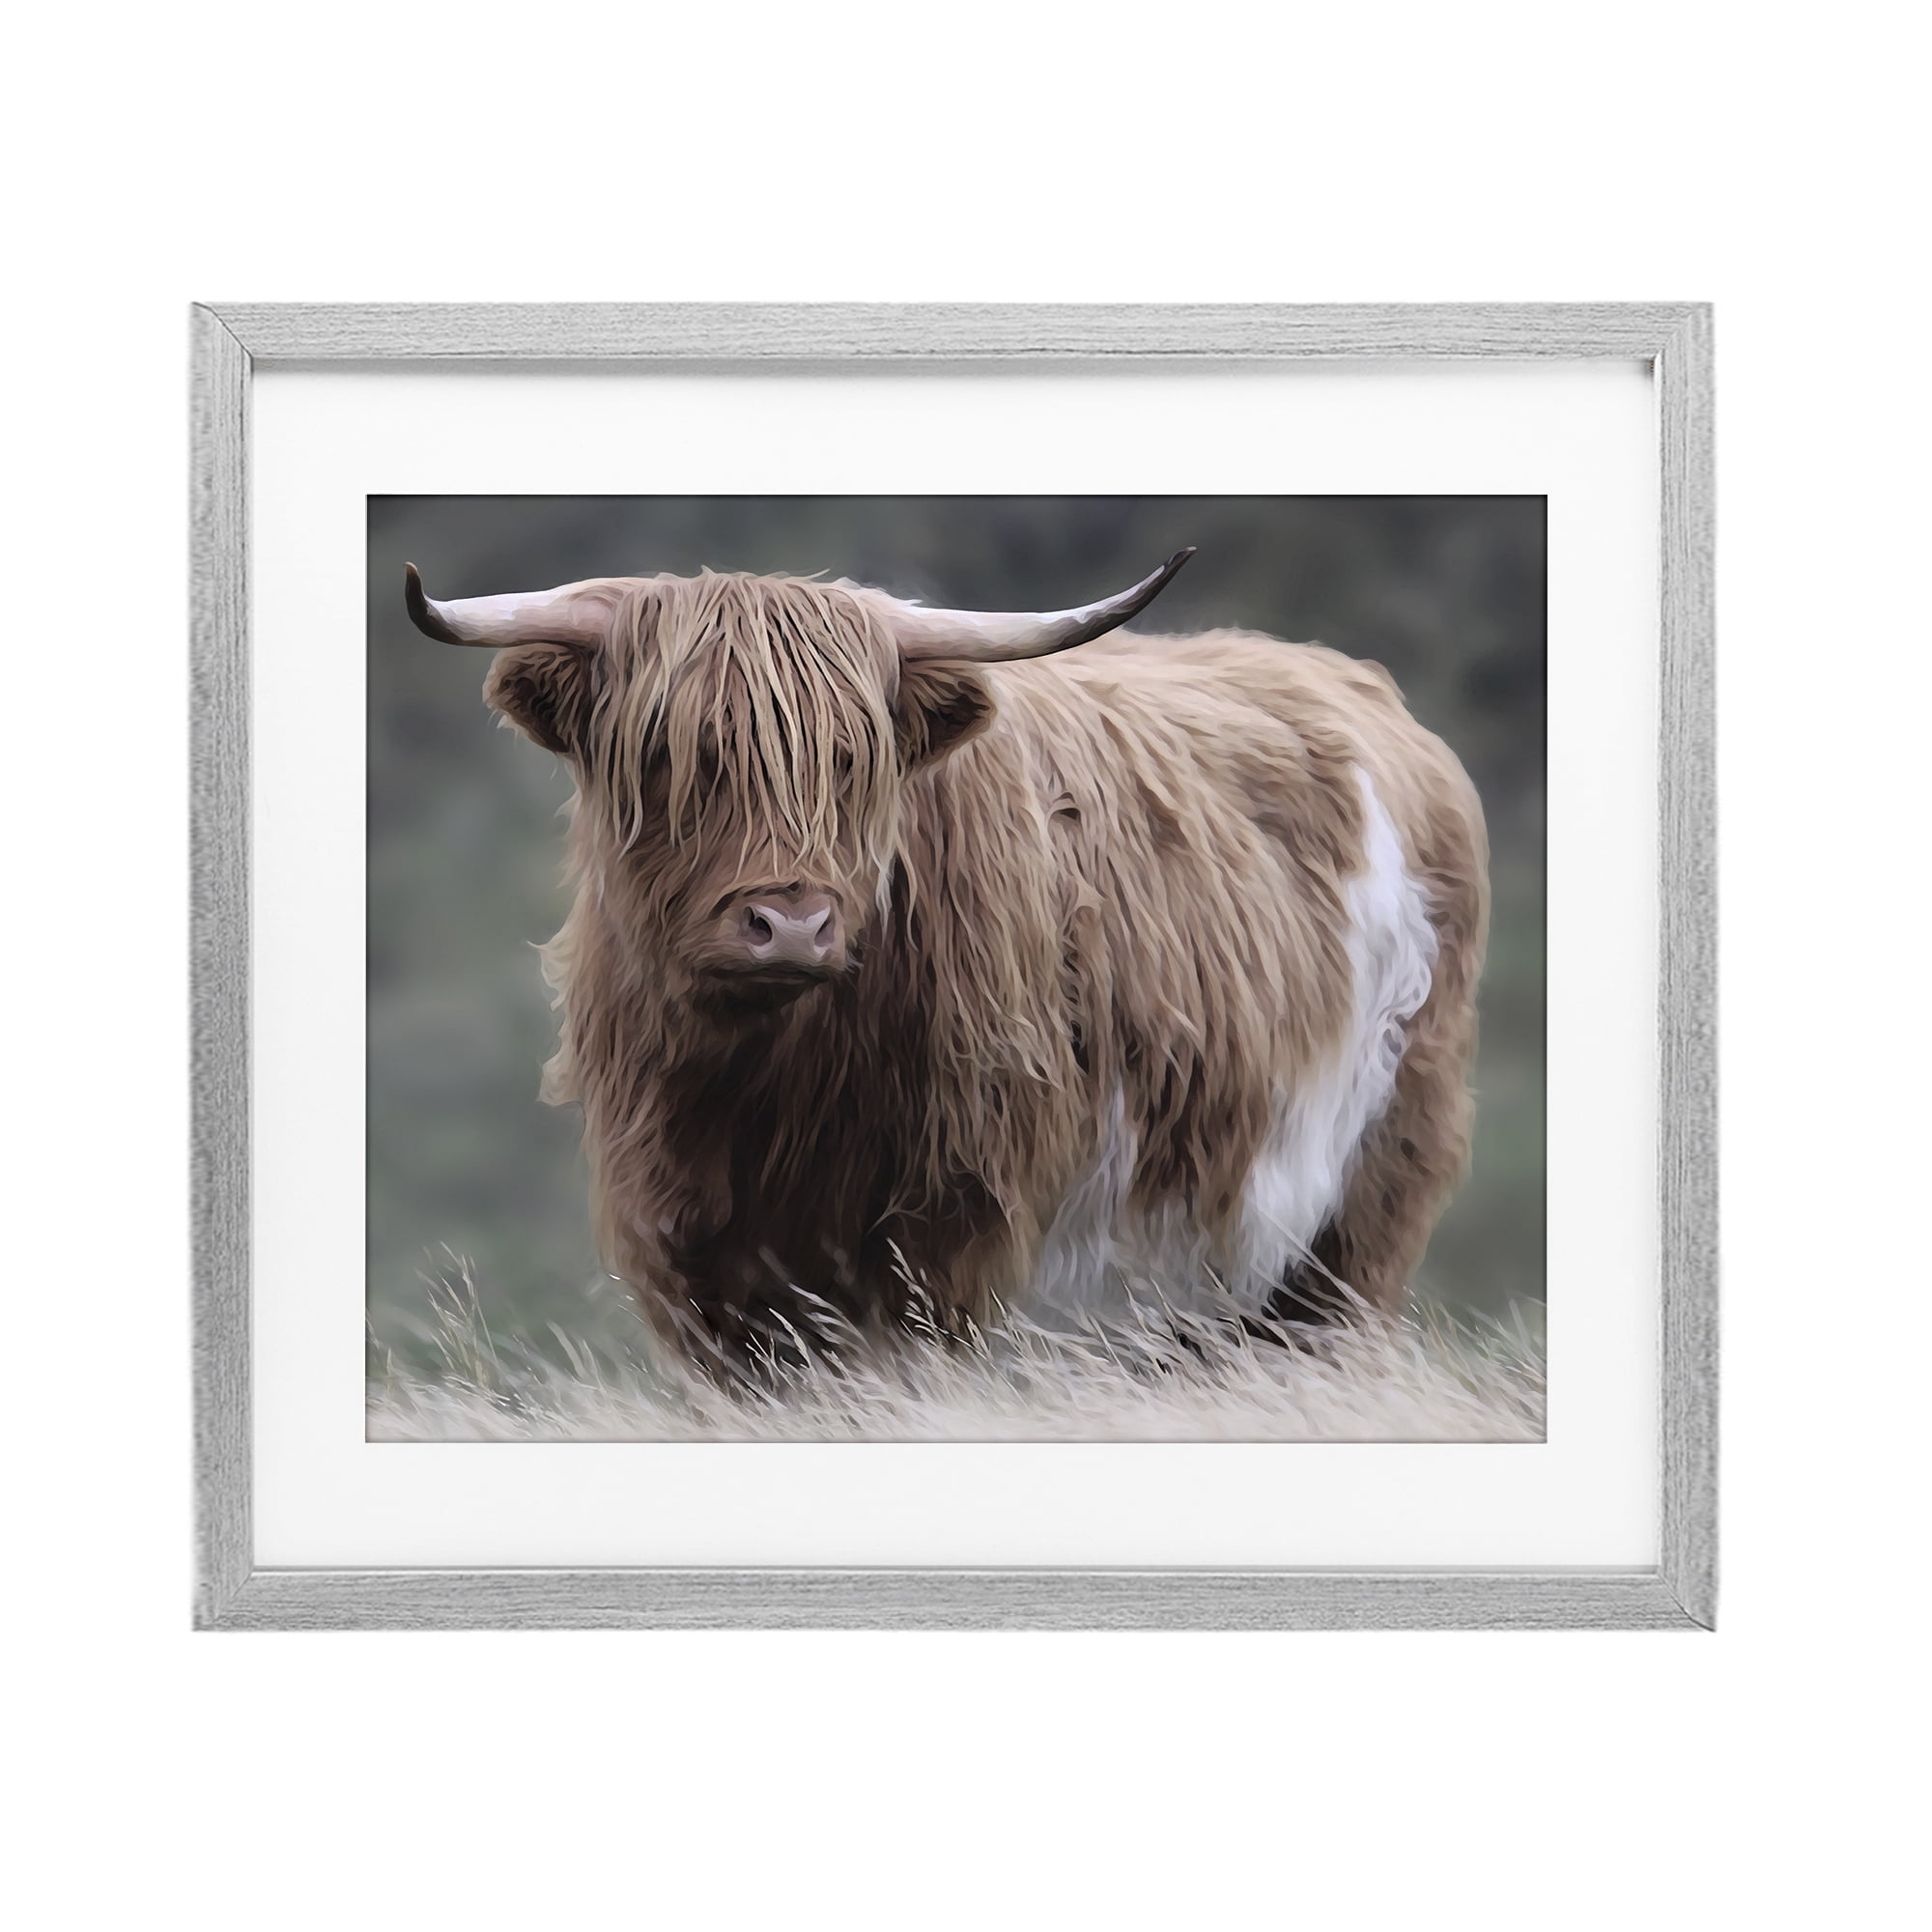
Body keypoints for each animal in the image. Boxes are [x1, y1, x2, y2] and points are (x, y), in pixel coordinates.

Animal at [404, 553, 1489, 1371]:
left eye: (852, 760)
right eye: (675, 754)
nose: (789, 924)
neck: (766, 1088)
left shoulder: (946, 1236)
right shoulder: (692, 1253)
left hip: (1357, 1207)